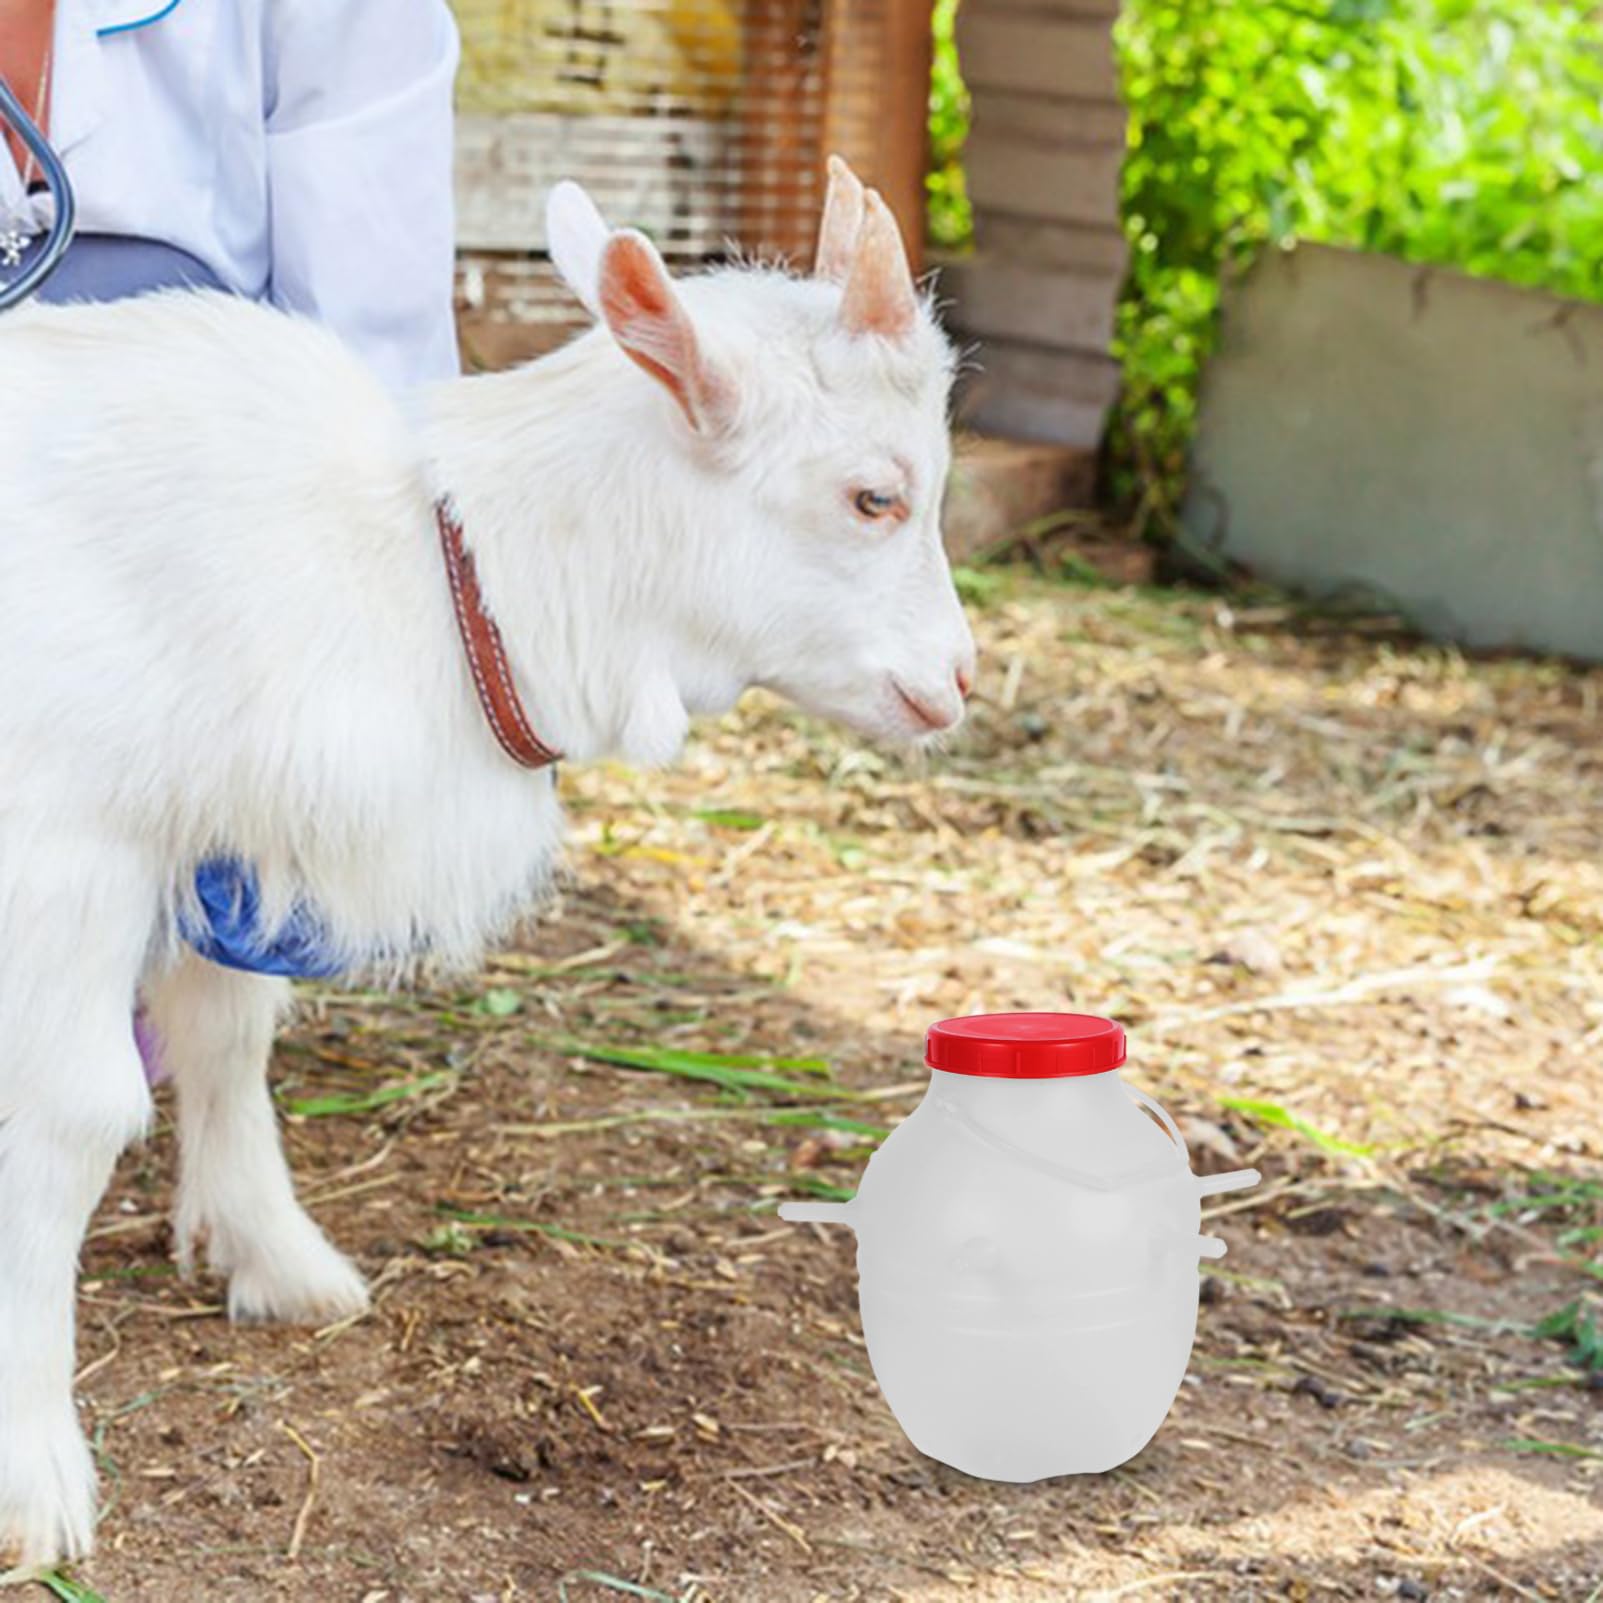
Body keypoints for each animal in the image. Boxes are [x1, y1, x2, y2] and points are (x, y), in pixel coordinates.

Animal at [0, 156, 975, 1566]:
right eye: (873, 495)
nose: (956, 682)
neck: (437, 576)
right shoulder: (67, 843)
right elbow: (72, 1113)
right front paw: (33, 1470)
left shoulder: (222, 828)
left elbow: (227, 1034)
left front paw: (277, 1257)